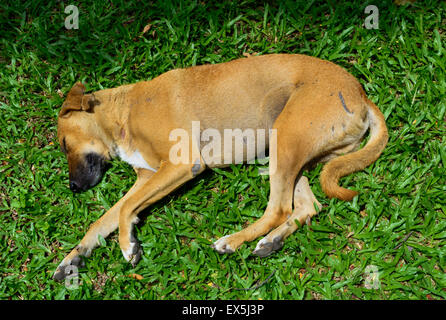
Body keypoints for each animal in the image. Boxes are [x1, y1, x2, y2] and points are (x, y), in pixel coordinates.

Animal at [51, 54, 386, 280]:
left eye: (65, 144)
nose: (73, 188)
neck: (123, 113)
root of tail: (360, 93)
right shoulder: (146, 177)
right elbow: (104, 219)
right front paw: (73, 258)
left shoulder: (181, 163)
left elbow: (123, 211)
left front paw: (127, 244)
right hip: (288, 149)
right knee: (307, 206)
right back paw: (271, 241)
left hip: (285, 139)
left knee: (279, 208)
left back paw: (233, 240)